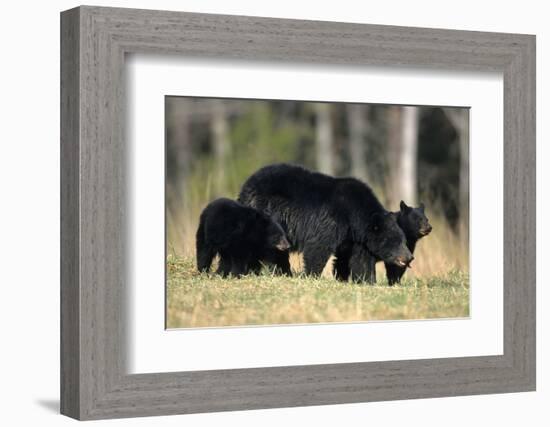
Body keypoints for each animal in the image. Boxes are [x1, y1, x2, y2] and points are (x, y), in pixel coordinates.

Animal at [238, 164, 414, 280]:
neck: (355, 218)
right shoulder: (332, 220)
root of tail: (246, 185)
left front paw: (364, 280)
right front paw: (311, 275)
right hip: (268, 212)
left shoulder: (355, 238)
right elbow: (318, 247)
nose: (409, 257)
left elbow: (358, 258)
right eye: (395, 241)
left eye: (403, 240)